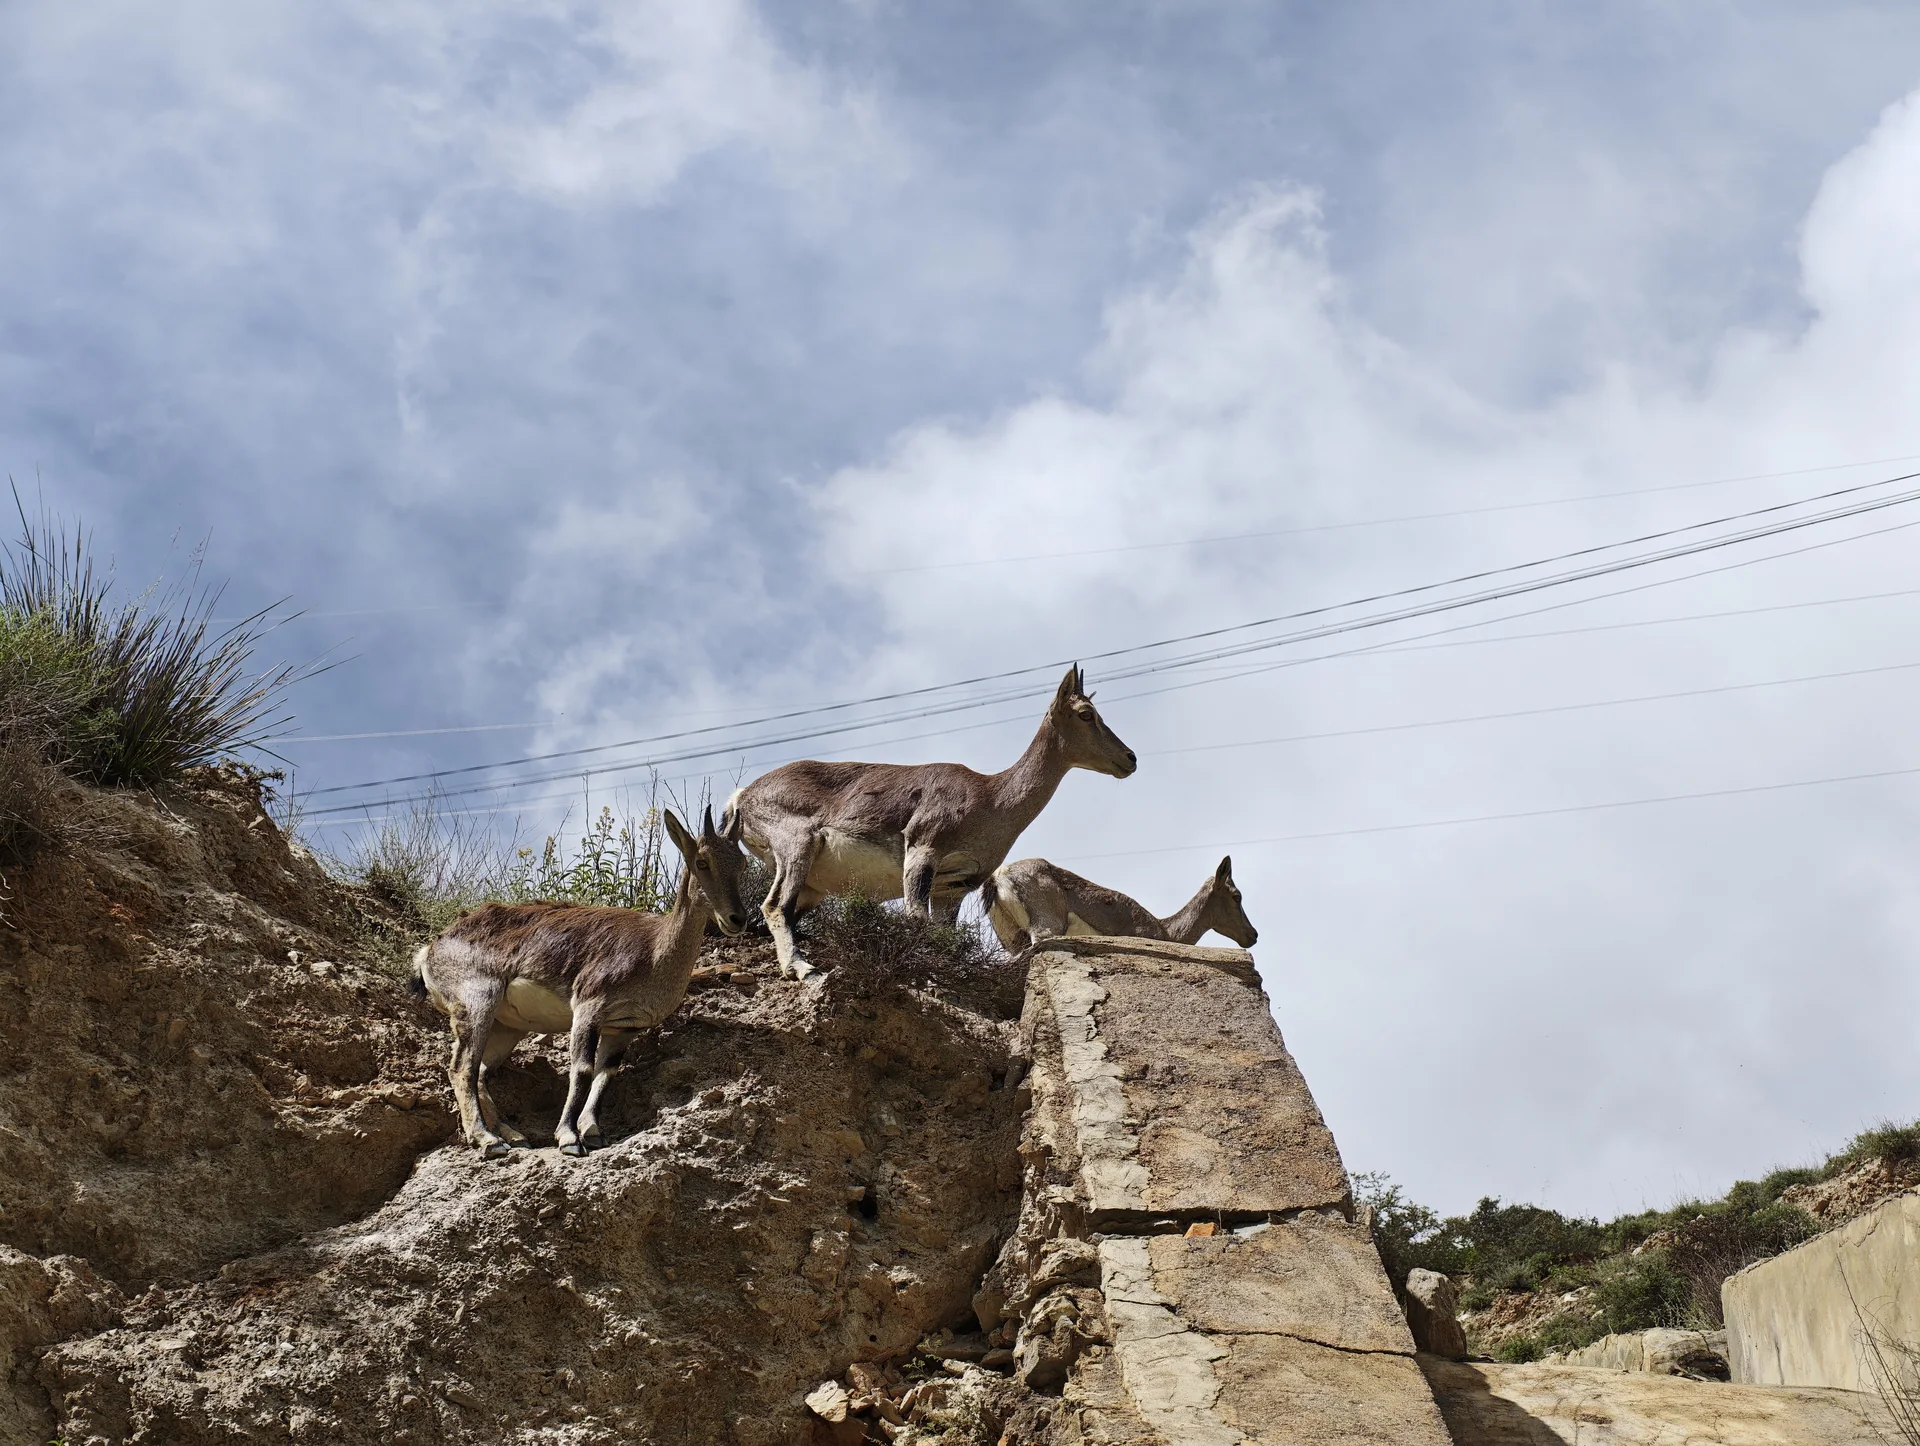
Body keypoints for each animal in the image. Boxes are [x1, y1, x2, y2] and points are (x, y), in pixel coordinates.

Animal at [414, 807, 749, 1158]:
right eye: (702, 861)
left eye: (742, 863)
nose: (737, 919)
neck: (654, 951)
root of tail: (429, 951)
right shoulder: (589, 1006)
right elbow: (582, 1070)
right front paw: (569, 1138)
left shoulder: (623, 1027)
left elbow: (604, 1076)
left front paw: (593, 1132)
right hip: (477, 998)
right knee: (461, 1067)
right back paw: (487, 1139)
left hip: (508, 1026)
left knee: (479, 1072)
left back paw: (513, 1135)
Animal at [723, 665, 1136, 980]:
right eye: (1086, 713)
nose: (1129, 758)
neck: (990, 797)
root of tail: (740, 798)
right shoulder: (922, 850)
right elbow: (916, 919)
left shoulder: (953, 887)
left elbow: (944, 936)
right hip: (797, 844)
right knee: (775, 906)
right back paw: (802, 968)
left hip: (813, 885)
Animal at [980, 855, 1256, 953]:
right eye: (1237, 896)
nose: (1252, 935)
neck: (1166, 931)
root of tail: (997, 877)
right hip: (1046, 926)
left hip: (1011, 937)